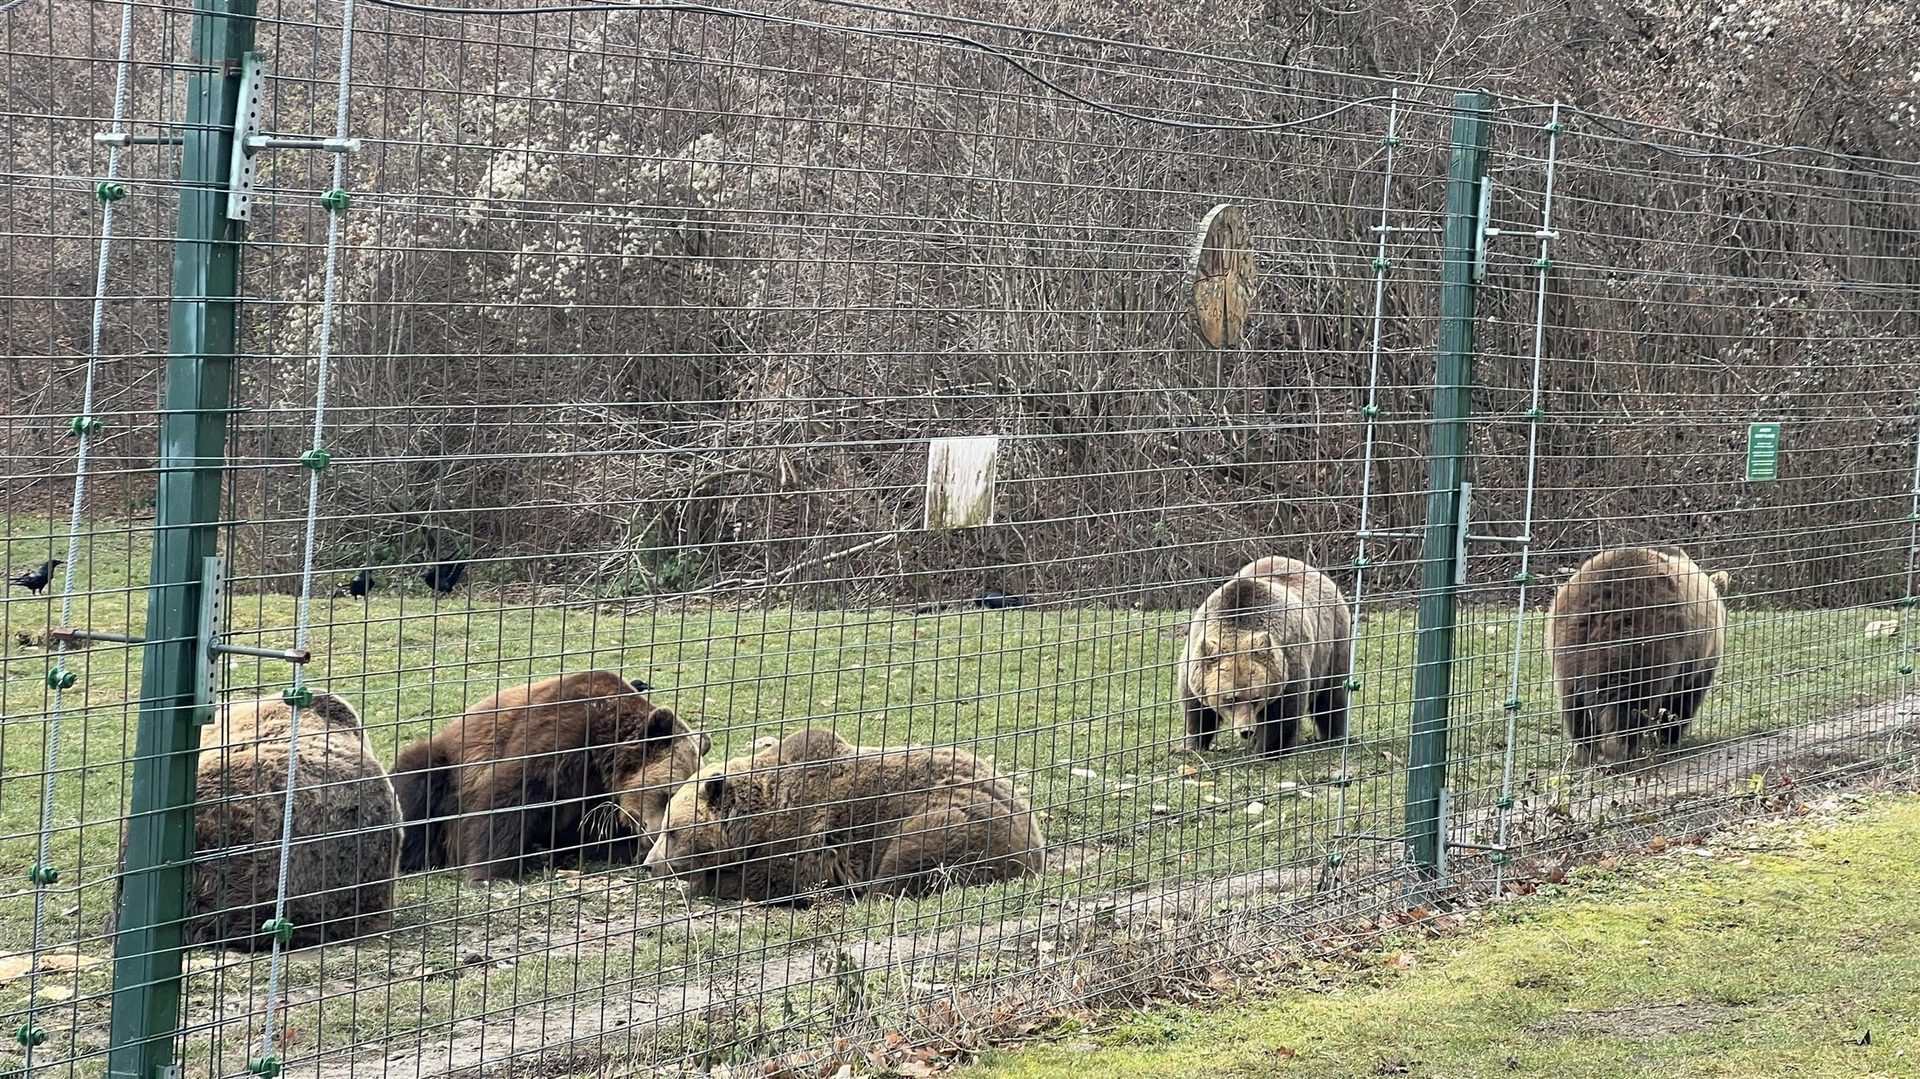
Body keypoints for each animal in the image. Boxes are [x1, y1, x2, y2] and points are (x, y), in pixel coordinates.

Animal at [389, 670, 708, 882]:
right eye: (668, 794)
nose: (654, 836)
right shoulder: (558, 731)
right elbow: (512, 795)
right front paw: (491, 873)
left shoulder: (595, 795)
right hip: (449, 767)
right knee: (417, 784)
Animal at [635, 728, 1046, 904]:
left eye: (671, 831)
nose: (649, 864)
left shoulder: (801, 837)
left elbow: (769, 879)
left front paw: (706, 884)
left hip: (953, 814)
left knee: (912, 856)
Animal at [1176, 555, 1353, 757]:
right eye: (1229, 699)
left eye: (1256, 698)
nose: (1246, 730)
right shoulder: (1194, 662)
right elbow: (1197, 711)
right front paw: (1190, 745)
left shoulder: (1288, 661)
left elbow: (1282, 714)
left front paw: (1269, 750)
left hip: (1333, 642)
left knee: (1331, 696)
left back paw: (1333, 735)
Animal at [1546, 545, 1730, 765]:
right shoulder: (1700, 660)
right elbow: (1682, 701)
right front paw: (1667, 736)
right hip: (1644, 639)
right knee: (1631, 700)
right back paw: (1620, 752)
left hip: (1571, 638)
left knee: (1575, 703)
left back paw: (1585, 750)